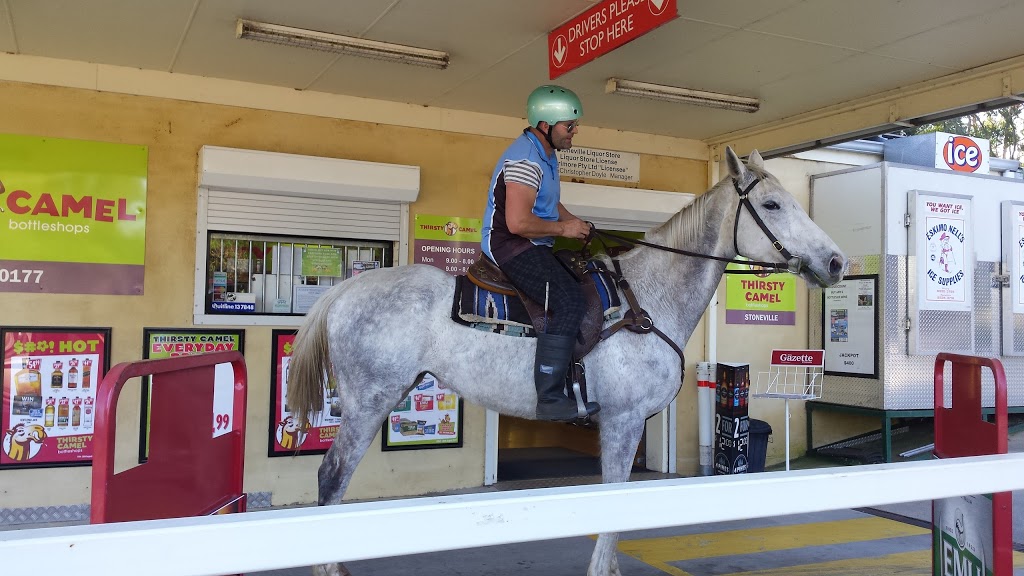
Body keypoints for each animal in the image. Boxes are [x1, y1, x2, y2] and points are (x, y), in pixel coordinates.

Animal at [288, 148, 847, 573]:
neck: (648, 299)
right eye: (772, 204)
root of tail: (346, 289)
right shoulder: (622, 420)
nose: (837, 261)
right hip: (369, 402)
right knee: (331, 477)